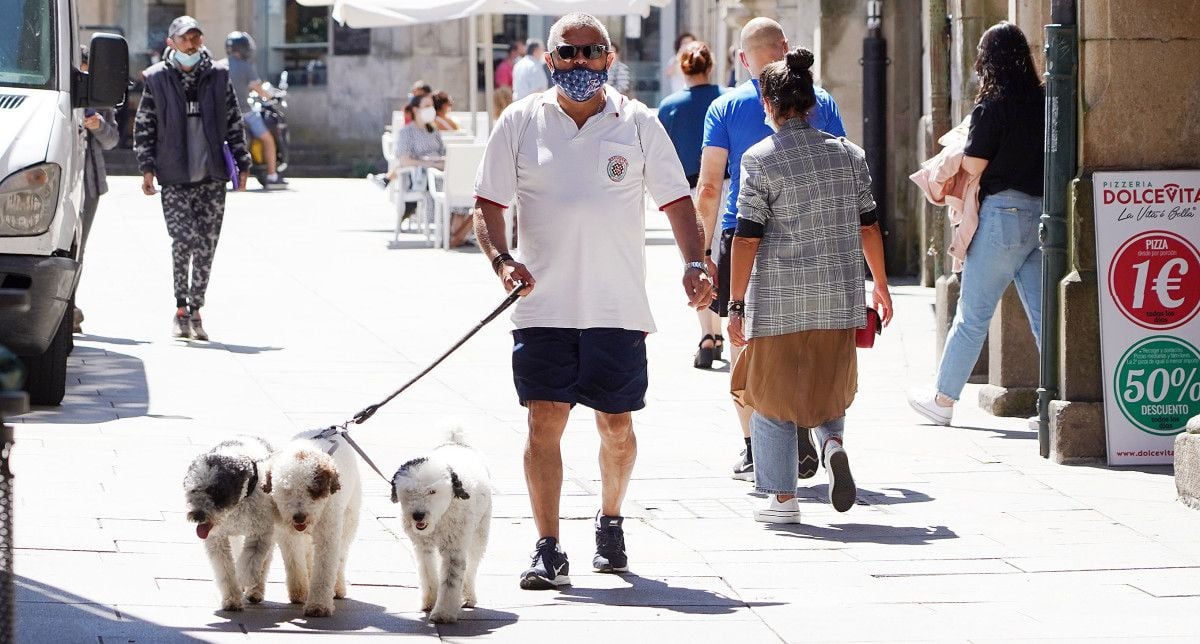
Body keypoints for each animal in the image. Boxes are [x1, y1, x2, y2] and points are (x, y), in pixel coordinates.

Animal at [260, 429, 357, 614]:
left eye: (313, 490)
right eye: (286, 490)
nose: (299, 517)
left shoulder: (328, 530)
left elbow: (326, 566)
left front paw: (318, 605)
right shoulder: (287, 534)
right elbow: (294, 560)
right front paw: (300, 592)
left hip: (350, 515)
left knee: (341, 554)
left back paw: (337, 588)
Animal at [388, 426, 492, 623]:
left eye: (432, 491)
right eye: (408, 490)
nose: (418, 515)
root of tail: (455, 442)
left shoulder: (454, 548)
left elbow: (451, 581)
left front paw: (443, 613)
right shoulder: (423, 547)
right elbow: (428, 574)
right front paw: (430, 601)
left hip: (479, 534)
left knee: (471, 566)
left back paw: (468, 596)